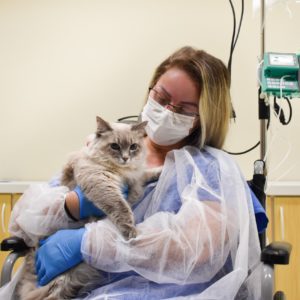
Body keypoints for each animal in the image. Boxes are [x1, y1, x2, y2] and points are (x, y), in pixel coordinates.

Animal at [15, 116, 162, 300]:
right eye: (115, 146)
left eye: (133, 147)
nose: (125, 158)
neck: (121, 172)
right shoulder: (102, 184)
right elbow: (122, 209)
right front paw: (132, 233)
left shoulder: (135, 178)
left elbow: (146, 174)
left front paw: (160, 170)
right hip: (58, 281)